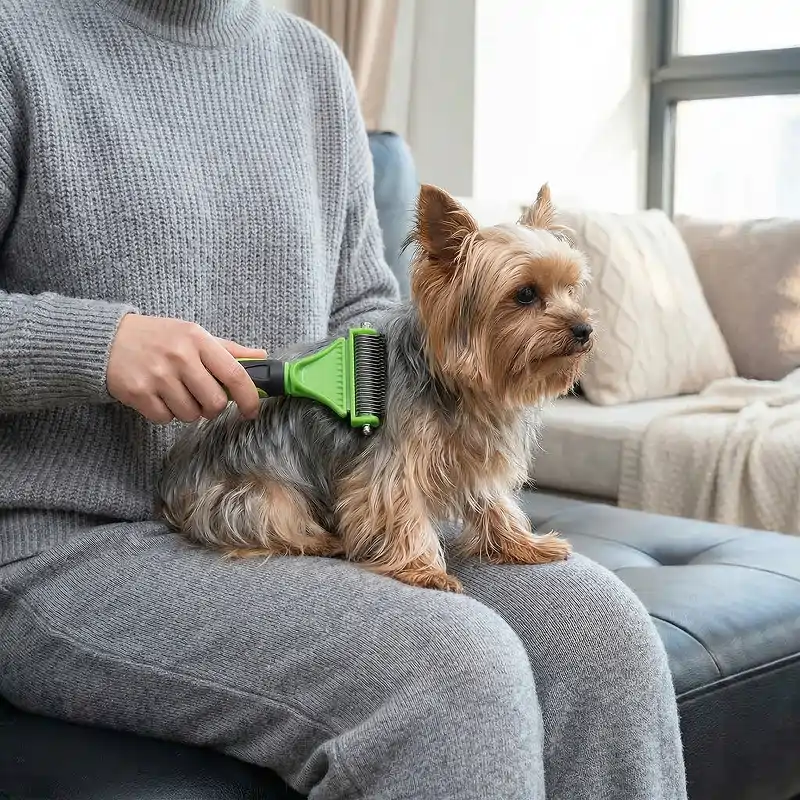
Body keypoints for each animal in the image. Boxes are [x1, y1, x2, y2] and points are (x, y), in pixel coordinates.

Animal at [158, 183, 595, 592]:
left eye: (571, 289)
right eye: (525, 294)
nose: (585, 329)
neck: (456, 385)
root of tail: (173, 481)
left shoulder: (475, 455)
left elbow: (494, 502)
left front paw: (523, 544)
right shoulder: (391, 463)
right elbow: (397, 507)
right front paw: (423, 569)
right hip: (259, 495)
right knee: (273, 523)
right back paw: (324, 541)